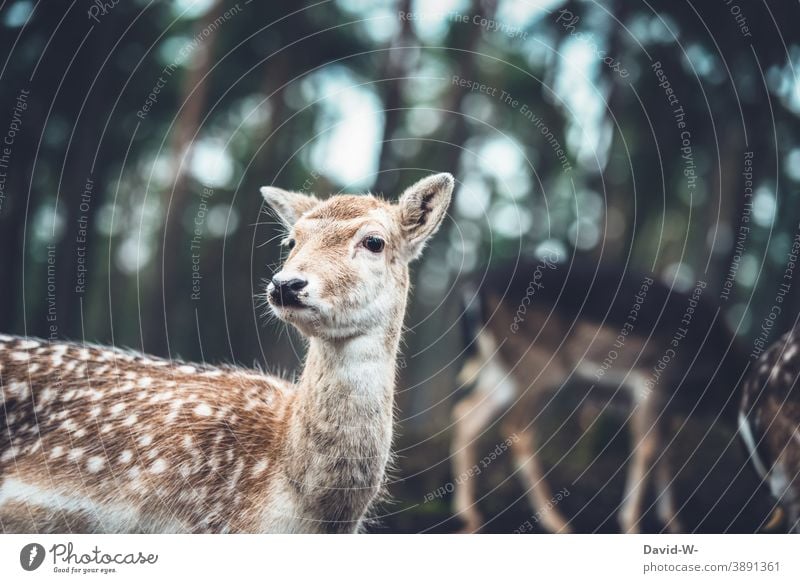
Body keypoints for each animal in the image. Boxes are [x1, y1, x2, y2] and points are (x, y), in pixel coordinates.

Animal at [454, 258, 740, 532]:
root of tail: (473, 290)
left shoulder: (665, 405)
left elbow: (664, 450)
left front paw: (674, 522)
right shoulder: (653, 382)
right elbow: (647, 447)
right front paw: (632, 523)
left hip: (500, 372)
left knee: (466, 413)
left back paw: (469, 515)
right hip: (539, 367)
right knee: (517, 429)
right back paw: (559, 523)